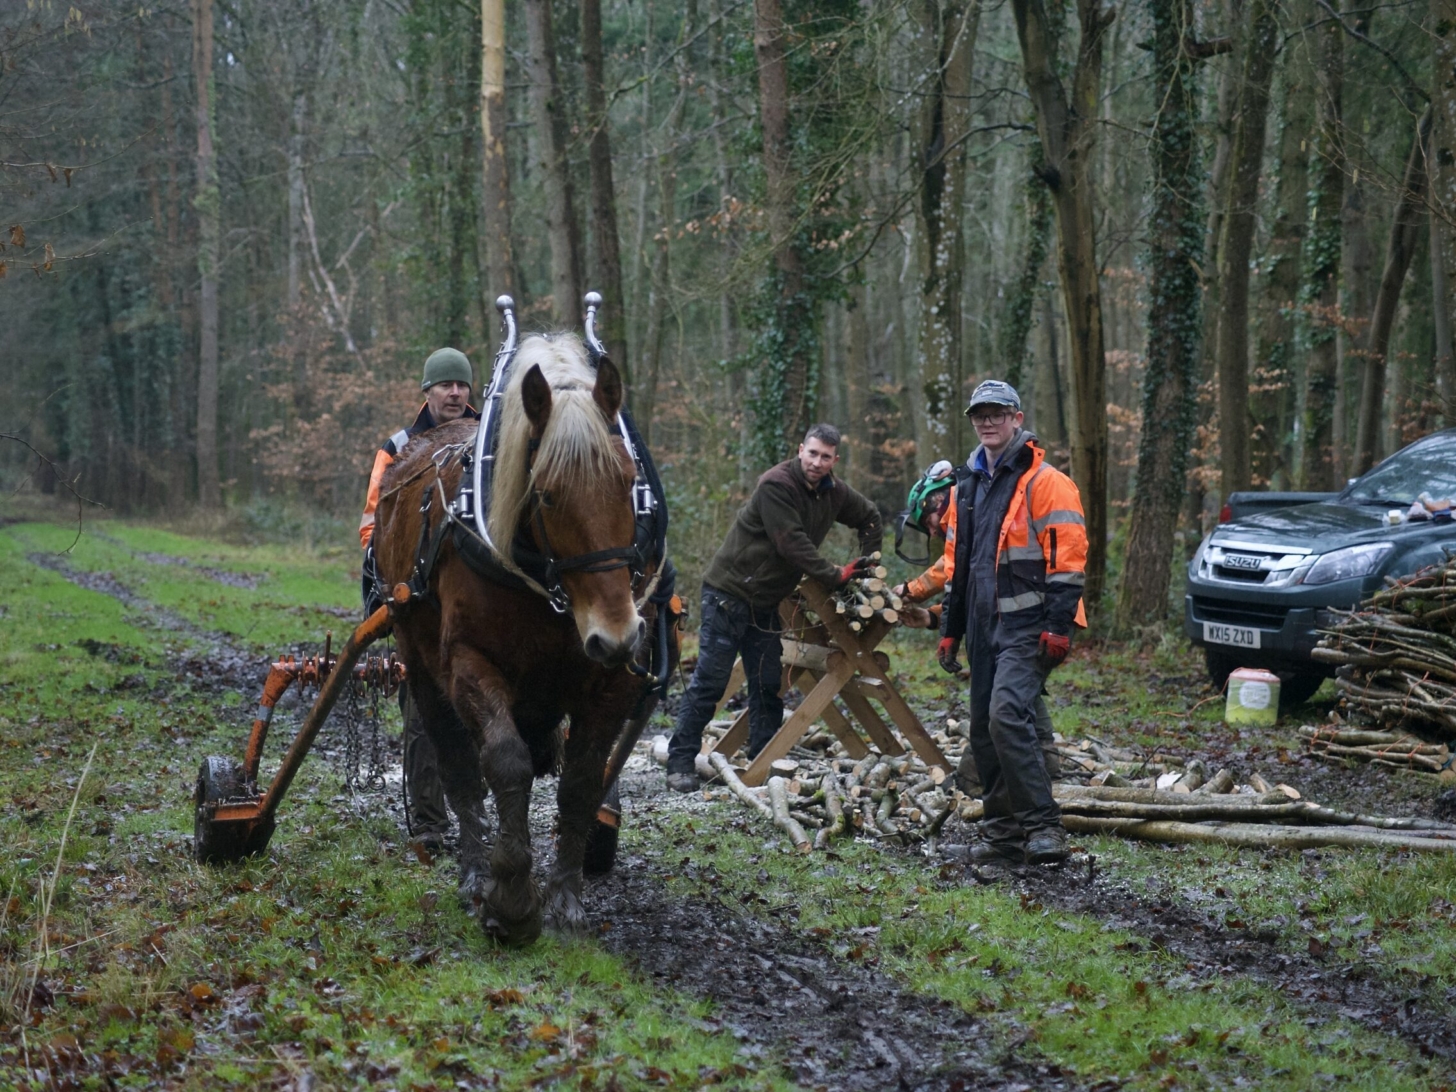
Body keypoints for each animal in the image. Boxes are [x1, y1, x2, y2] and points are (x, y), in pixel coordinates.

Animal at [372, 333, 666, 944]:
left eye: (629, 482)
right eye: (547, 494)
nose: (616, 635)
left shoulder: (612, 685)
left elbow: (581, 782)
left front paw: (566, 902)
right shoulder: (469, 662)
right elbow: (504, 763)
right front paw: (508, 897)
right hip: (418, 656)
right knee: (455, 762)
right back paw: (472, 868)